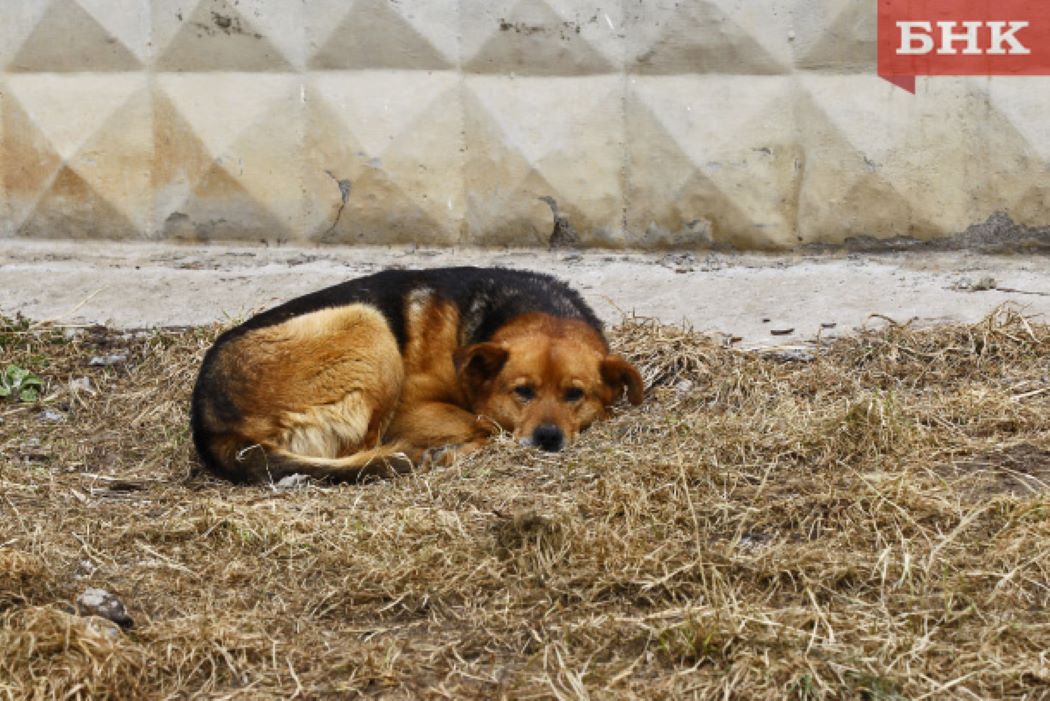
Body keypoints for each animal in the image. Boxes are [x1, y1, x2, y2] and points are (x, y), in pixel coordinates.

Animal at [192, 265, 642, 484]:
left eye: (575, 395)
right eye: (522, 391)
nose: (548, 439)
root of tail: (209, 426)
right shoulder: (411, 409)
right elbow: (486, 423)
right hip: (366, 324)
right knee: (366, 452)